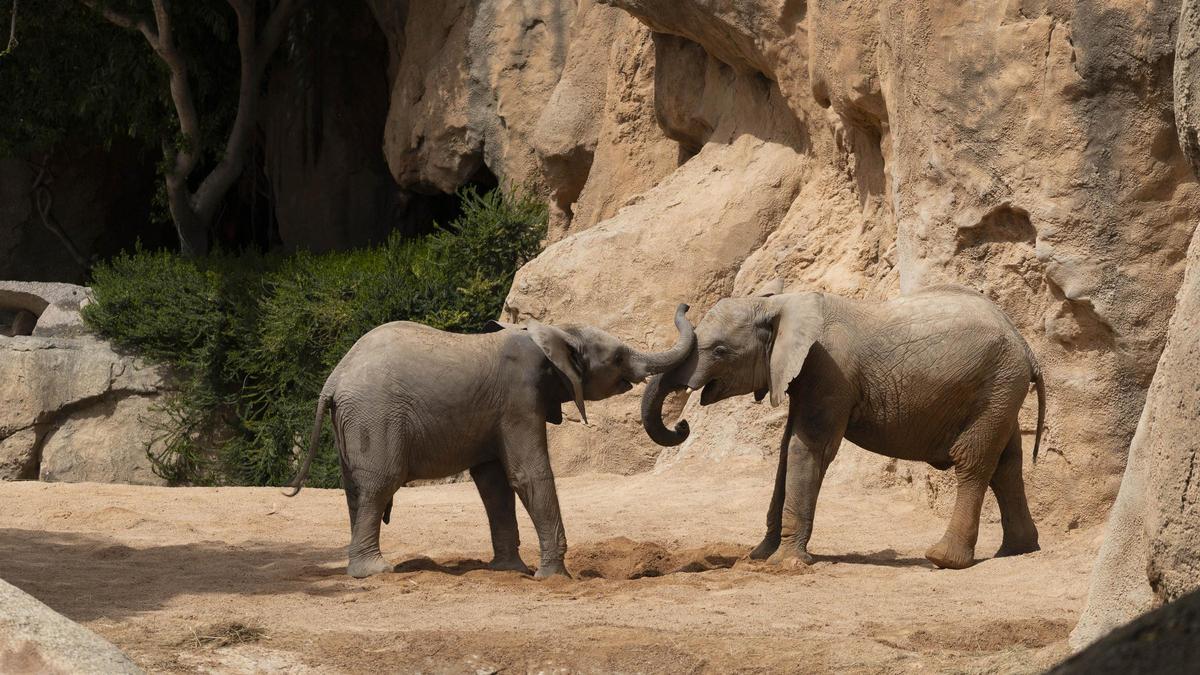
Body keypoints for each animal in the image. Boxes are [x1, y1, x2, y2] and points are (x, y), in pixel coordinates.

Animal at [286, 305, 695, 578]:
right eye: (618, 357)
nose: (682, 424)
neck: (551, 332)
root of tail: (333, 380)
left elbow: (495, 485)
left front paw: (510, 571)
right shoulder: (519, 397)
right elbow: (528, 475)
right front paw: (554, 578)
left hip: (353, 419)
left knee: (355, 489)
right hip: (374, 414)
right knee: (379, 484)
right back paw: (375, 572)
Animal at [641, 284, 1045, 570]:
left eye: (720, 350)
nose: (682, 425)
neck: (780, 303)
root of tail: (1027, 347)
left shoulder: (828, 369)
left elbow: (809, 448)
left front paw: (784, 563)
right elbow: (787, 448)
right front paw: (759, 556)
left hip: (996, 383)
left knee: (973, 461)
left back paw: (944, 559)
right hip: (1001, 390)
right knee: (1007, 462)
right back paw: (1017, 550)